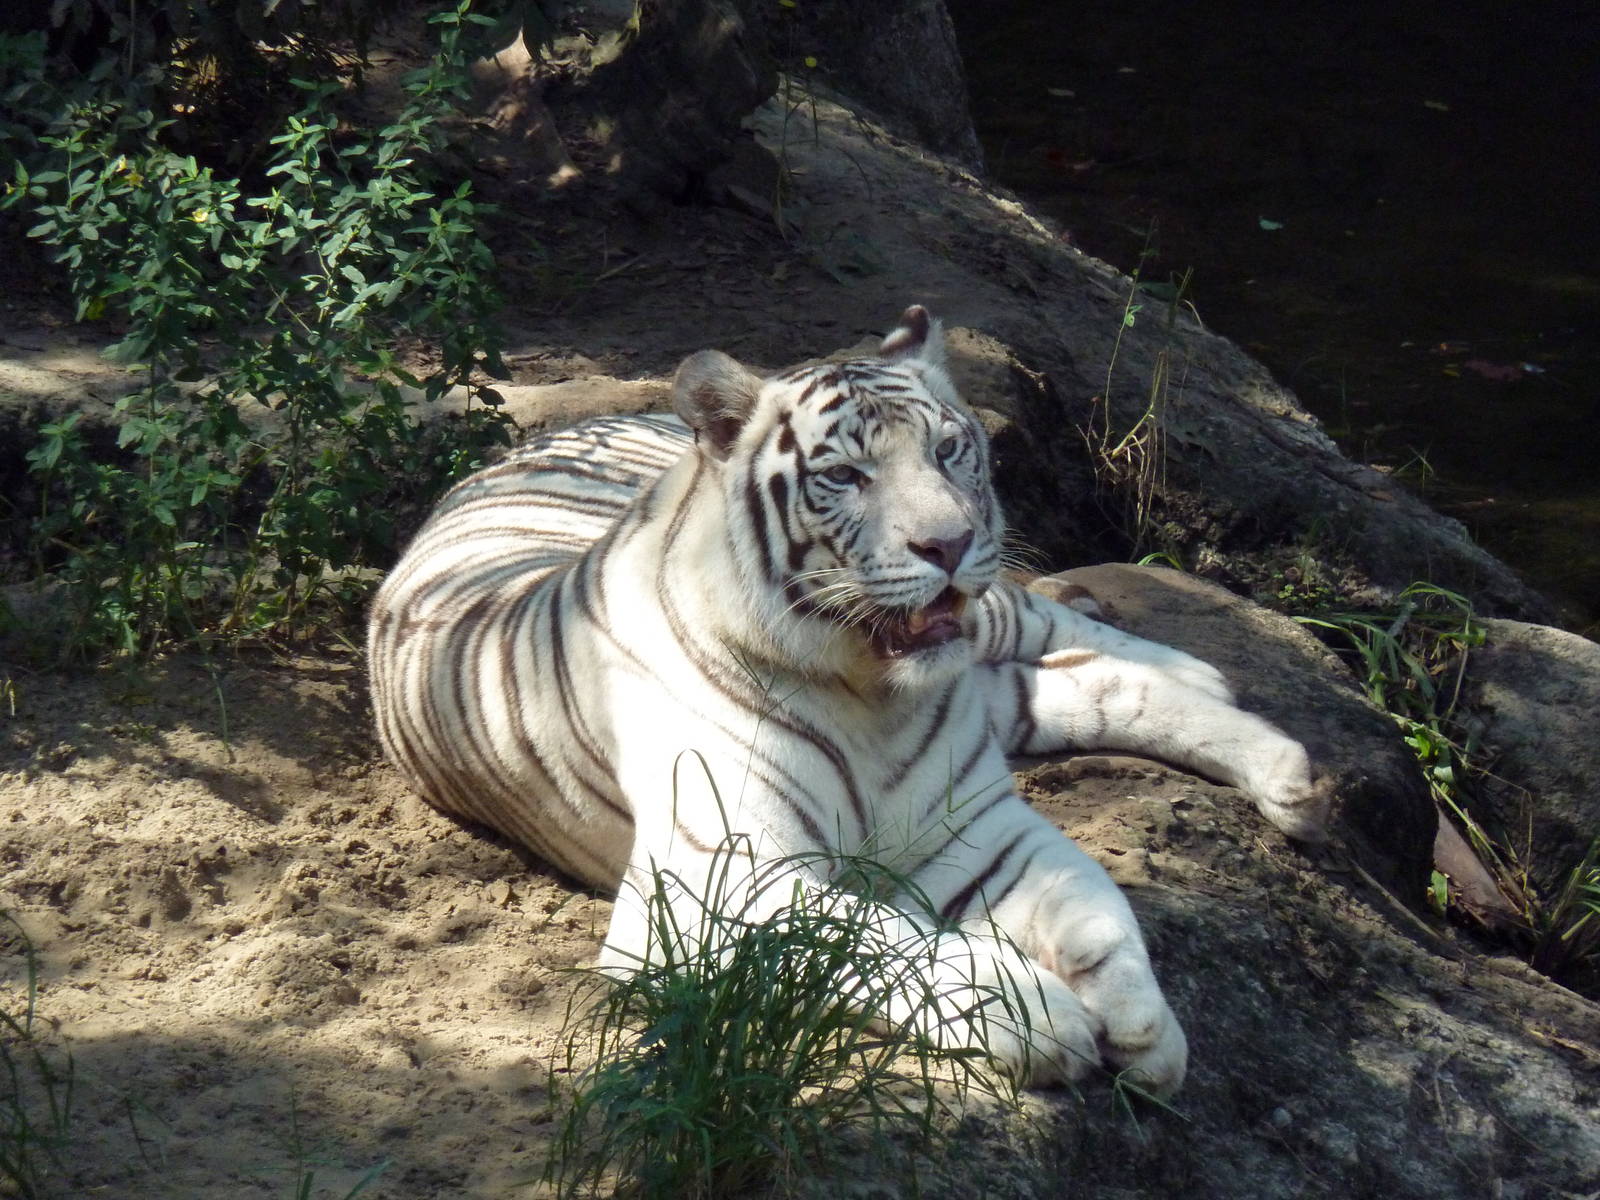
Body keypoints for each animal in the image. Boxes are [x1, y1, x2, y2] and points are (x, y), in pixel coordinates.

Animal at [367, 306, 1331, 1094]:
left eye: (947, 450)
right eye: (845, 477)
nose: (949, 543)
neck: (874, 698)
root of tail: (580, 425)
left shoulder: (981, 831)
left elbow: (1099, 900)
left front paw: (1145, 1028)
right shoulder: (720, 882)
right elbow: (880, 937)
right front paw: (1042, 1017)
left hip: (995, 624)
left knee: (1056, 626)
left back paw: (1273, 751)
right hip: (995, 689)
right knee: (1082, 681)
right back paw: (1280, 765)